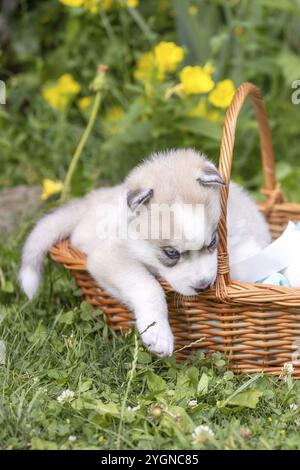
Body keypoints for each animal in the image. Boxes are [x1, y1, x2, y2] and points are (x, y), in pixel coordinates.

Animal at [19, 150, 270, 356]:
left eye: (212, 242)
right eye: (171, 253)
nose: (203, 286)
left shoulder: (239, 237)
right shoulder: (110, 257)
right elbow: (149, 286)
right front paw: (158, 334)